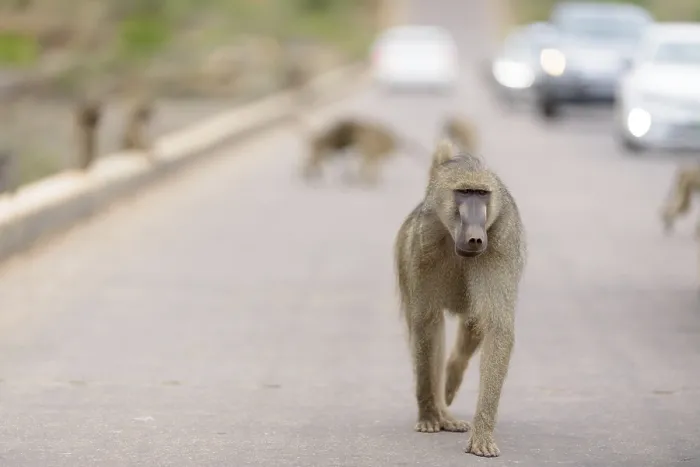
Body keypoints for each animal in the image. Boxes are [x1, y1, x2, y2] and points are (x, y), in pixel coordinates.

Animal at [393, 139, 526, 458]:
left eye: (482, 194)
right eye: (464, 193)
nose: (475, 238)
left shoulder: (503, 243)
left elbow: (497, 328)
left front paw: (482, 433)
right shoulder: (423, 245)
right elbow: (426, 323)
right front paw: (429, 415)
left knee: (473, 323)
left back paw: (452, 379)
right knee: (433, 328)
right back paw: (442, 411)